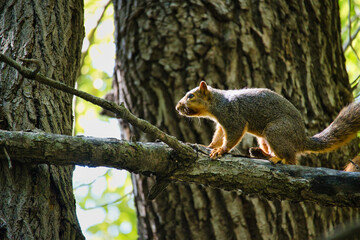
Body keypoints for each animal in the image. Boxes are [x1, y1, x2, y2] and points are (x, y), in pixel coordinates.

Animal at [176, 81, 360, 166]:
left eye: (191, 96)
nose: (178, 107)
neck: (217, 103)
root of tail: (301, 139)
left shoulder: (233, 118)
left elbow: (232, 136)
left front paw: (221, 150)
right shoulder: (222, 124)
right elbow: (219, 136)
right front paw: (209, 145)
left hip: (276, 131)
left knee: (291, 159)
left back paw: (277, 158)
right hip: (264, 138)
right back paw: (262, 153)